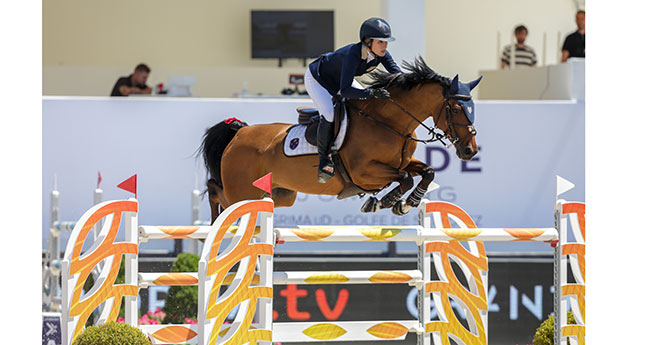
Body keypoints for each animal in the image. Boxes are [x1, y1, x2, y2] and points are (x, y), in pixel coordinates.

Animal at [199, 56, 482, 222]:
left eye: (472, 108)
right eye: (455, 108)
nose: (470, 151)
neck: (388, 122)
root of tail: (240, 132)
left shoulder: (403, 162)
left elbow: (427, 171)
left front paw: (406, 203)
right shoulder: (364, 172)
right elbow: (404, 178)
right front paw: (385, 202)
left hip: (278, 194)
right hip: (241, 192)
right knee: (216, 192)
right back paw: (213, 224)